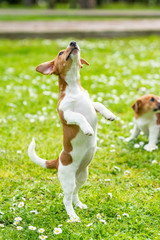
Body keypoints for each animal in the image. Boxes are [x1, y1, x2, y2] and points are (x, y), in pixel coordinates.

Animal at [27, 41, 115, 221]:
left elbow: (98, 104)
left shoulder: (91, 104)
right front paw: (87, 128)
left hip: (82, 176)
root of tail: (57, 161)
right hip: (68, 179)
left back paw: (79, 205)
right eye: (61, 53)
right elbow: (80, 116)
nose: (73, 43)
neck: (74, 89)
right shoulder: (67, 115)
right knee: (66, 199)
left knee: (75, 193)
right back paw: (73, 216)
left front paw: (109, 114)